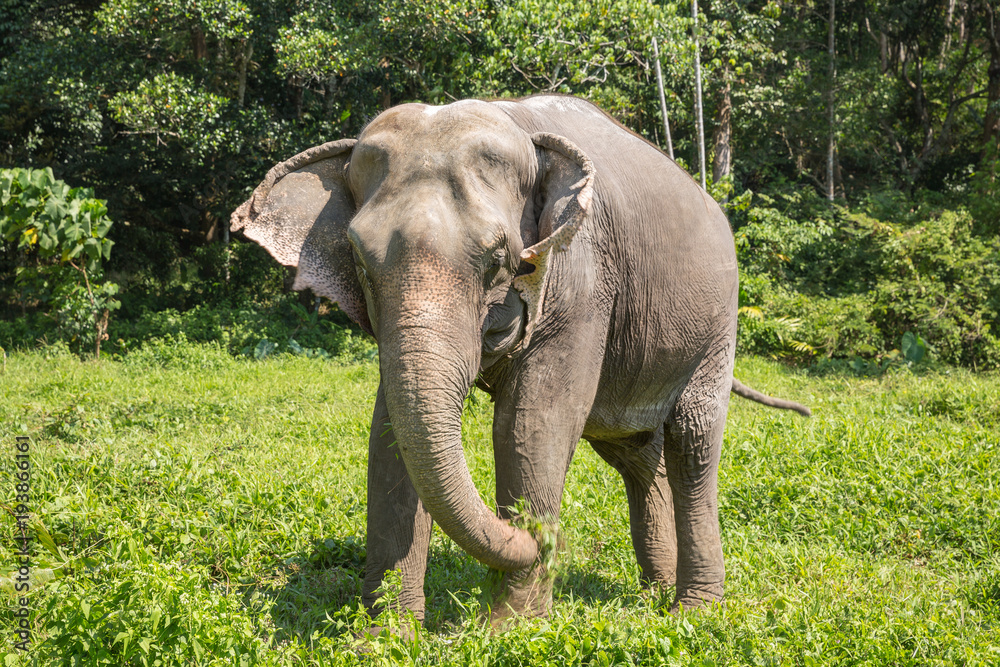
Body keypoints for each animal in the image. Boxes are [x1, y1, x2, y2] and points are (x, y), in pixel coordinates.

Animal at [230, 94, 810, 628]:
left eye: (498, 261)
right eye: (359, 262)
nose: (544, 541)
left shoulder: (582, 277)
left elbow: (532, 423)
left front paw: (510, 629)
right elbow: (390, 433)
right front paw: (388, 637)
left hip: (717, 324)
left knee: (692, 440)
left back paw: (693, 612)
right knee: (637, 455)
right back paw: (653, 597)